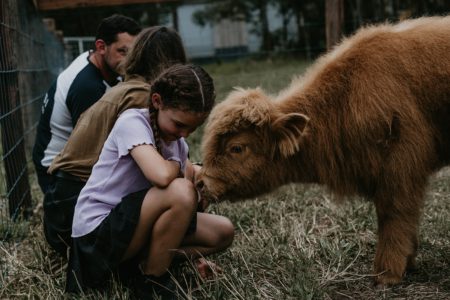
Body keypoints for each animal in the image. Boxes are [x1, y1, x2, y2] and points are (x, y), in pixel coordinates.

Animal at [196, 17, 450, 286]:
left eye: (237, 147)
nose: (200, 182)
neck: (344, 97)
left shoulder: (399, 171)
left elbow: (394, 217)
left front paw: (387, 273)